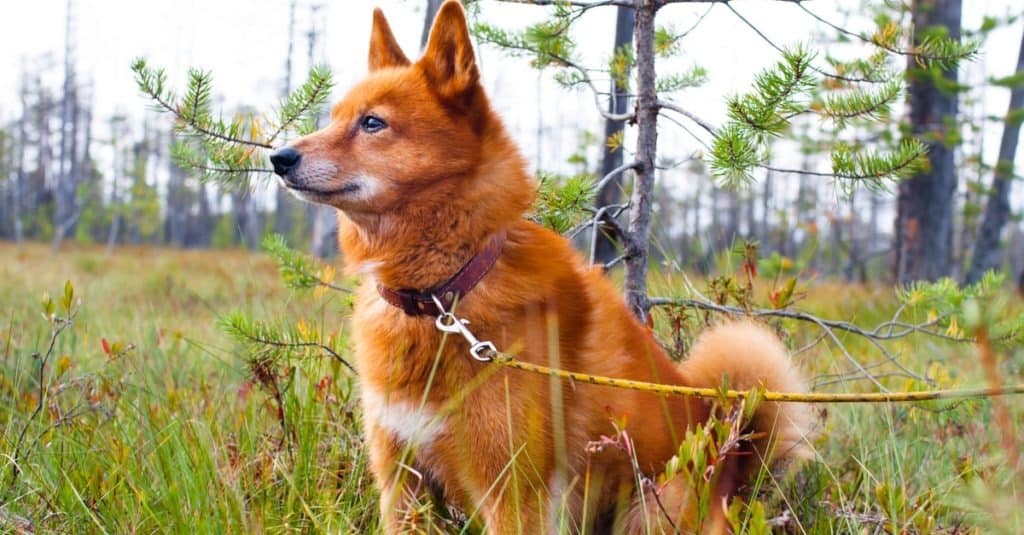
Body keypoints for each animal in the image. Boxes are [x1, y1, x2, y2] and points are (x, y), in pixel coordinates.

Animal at [268, 2, 811, 528]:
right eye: (334, 117)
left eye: (372, 123)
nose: (279, 157)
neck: (446, 294)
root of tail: (734, 462)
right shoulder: (403, 486)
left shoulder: (515, 494)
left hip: (654, 506)